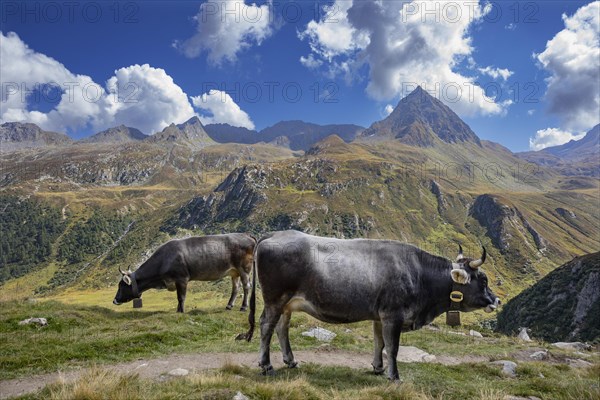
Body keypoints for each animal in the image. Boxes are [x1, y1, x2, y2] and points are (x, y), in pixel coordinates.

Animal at [113, 234, 255, 312]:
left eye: (121, 285)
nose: (114, 300)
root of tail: (246, 235)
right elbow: (179, 296)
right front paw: (177, 310)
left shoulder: (182, 278)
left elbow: (181, 297)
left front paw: (181, 311)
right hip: (234, 272)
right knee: (236, 288)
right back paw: (229, 306)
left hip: (244, 269)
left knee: (246, 286)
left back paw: (243, 307)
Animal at [241, 230, 500, 380]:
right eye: (483, 279)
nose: (496, 300)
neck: (419, 274)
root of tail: (272, 236)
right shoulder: (393, 315)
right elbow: (392, 347)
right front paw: (394, 376)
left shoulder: (379, 316)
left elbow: (379, 343)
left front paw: (378, 368)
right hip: (275, 298)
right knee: (266, 326)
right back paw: (266, 365)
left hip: (287, 303)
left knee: (281, 328)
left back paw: (290, 360)